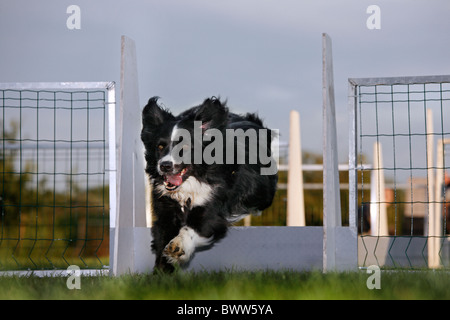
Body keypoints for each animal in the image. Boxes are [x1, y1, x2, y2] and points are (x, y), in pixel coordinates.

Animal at [141, 97, 278, 272]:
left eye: (185, 147)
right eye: (159, 146)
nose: (165, 166)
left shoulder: (213, 207)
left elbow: (192, 227)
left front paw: (178, 246)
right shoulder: (166, 210)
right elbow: (162, 237)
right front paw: (161, 271)